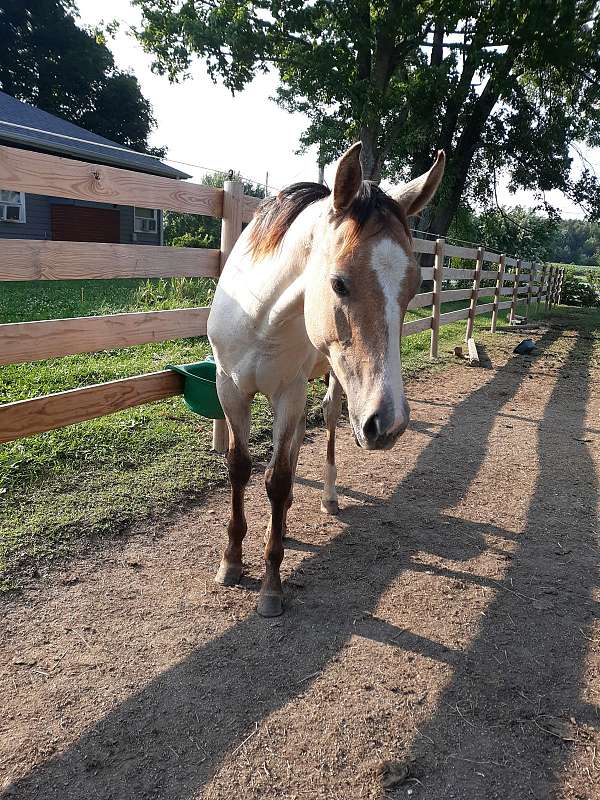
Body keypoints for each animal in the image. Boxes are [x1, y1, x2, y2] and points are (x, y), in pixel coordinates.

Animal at [207, 142, 446, 620]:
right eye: (339, 283)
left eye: (414, 286)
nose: (390, 424)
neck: (259, 313)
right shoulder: (230, 388)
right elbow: (241, 468)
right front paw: (231, 562)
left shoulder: (289, 393)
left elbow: (278, 480)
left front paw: (271, 586)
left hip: (334, 386)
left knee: (330, 425)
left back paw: (328, 498)